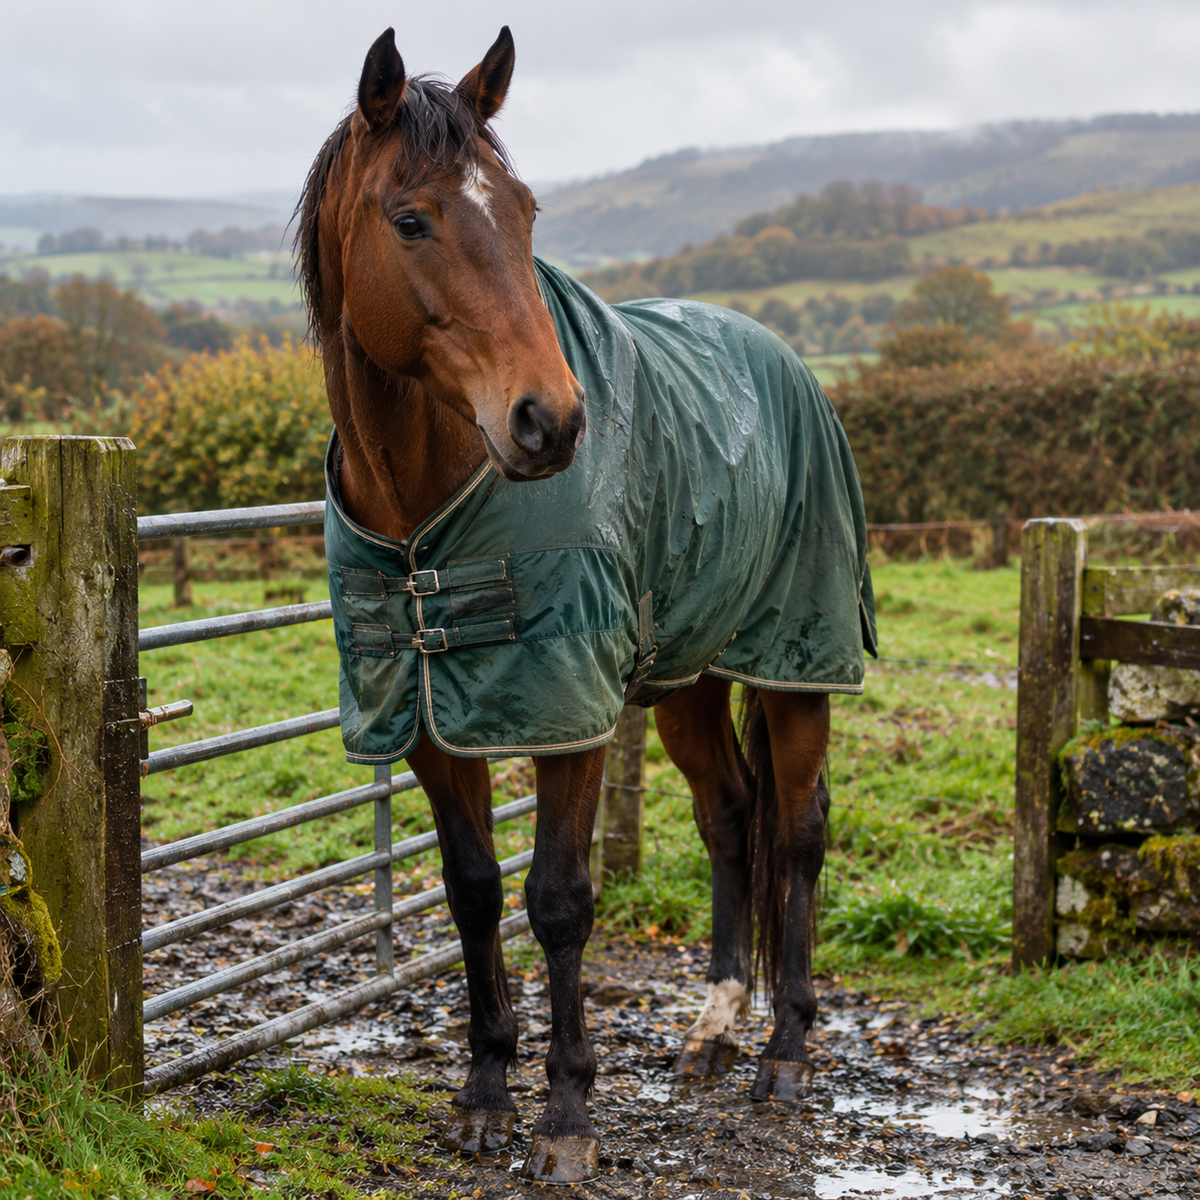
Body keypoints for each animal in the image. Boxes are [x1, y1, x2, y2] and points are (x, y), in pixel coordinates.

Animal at [297, 26, 875, 1185]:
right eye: (411, 218)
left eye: (525, 213)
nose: (552, 422)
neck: (424, 513)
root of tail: (782, 357)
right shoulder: (432, 716)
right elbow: (472, 889)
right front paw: (484, 1093)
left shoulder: (570, 714)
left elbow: (559, 901)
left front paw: (566, 1117)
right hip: (689, 676)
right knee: (730, 815)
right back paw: (712, 1030)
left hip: (798, 667)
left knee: (797, 832)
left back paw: (785, 1055)